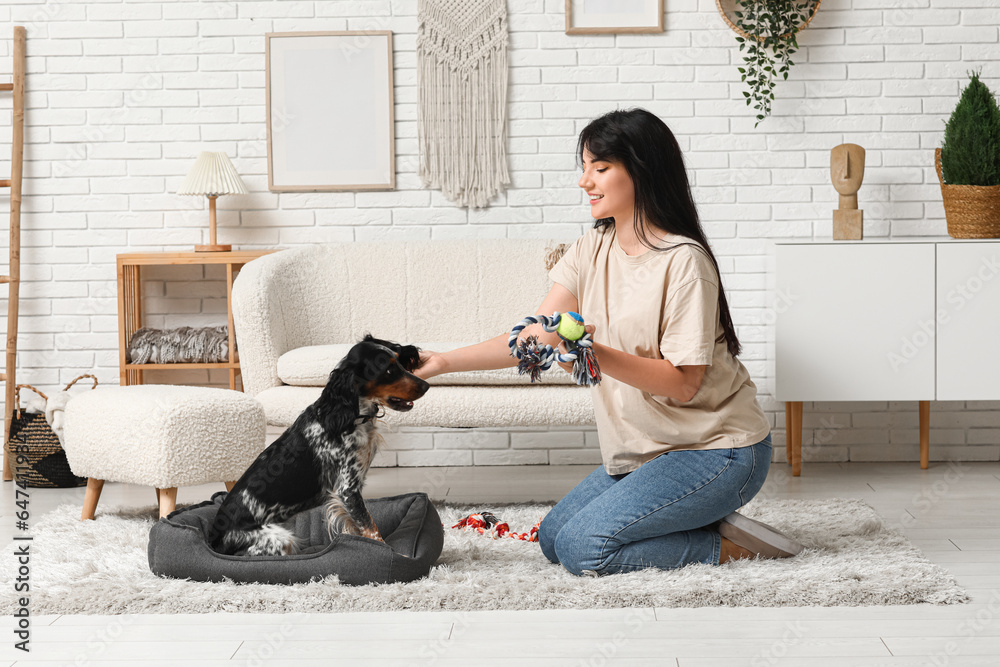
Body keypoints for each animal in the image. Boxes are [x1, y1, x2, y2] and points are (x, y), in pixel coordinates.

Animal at [209, 334, 428, 560]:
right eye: (388, 370)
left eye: (399, 362)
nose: (426, 385)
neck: (349, 416)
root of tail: (215, 539)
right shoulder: (347, 489)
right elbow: (372, 530)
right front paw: (393, 554)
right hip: (280, 539)